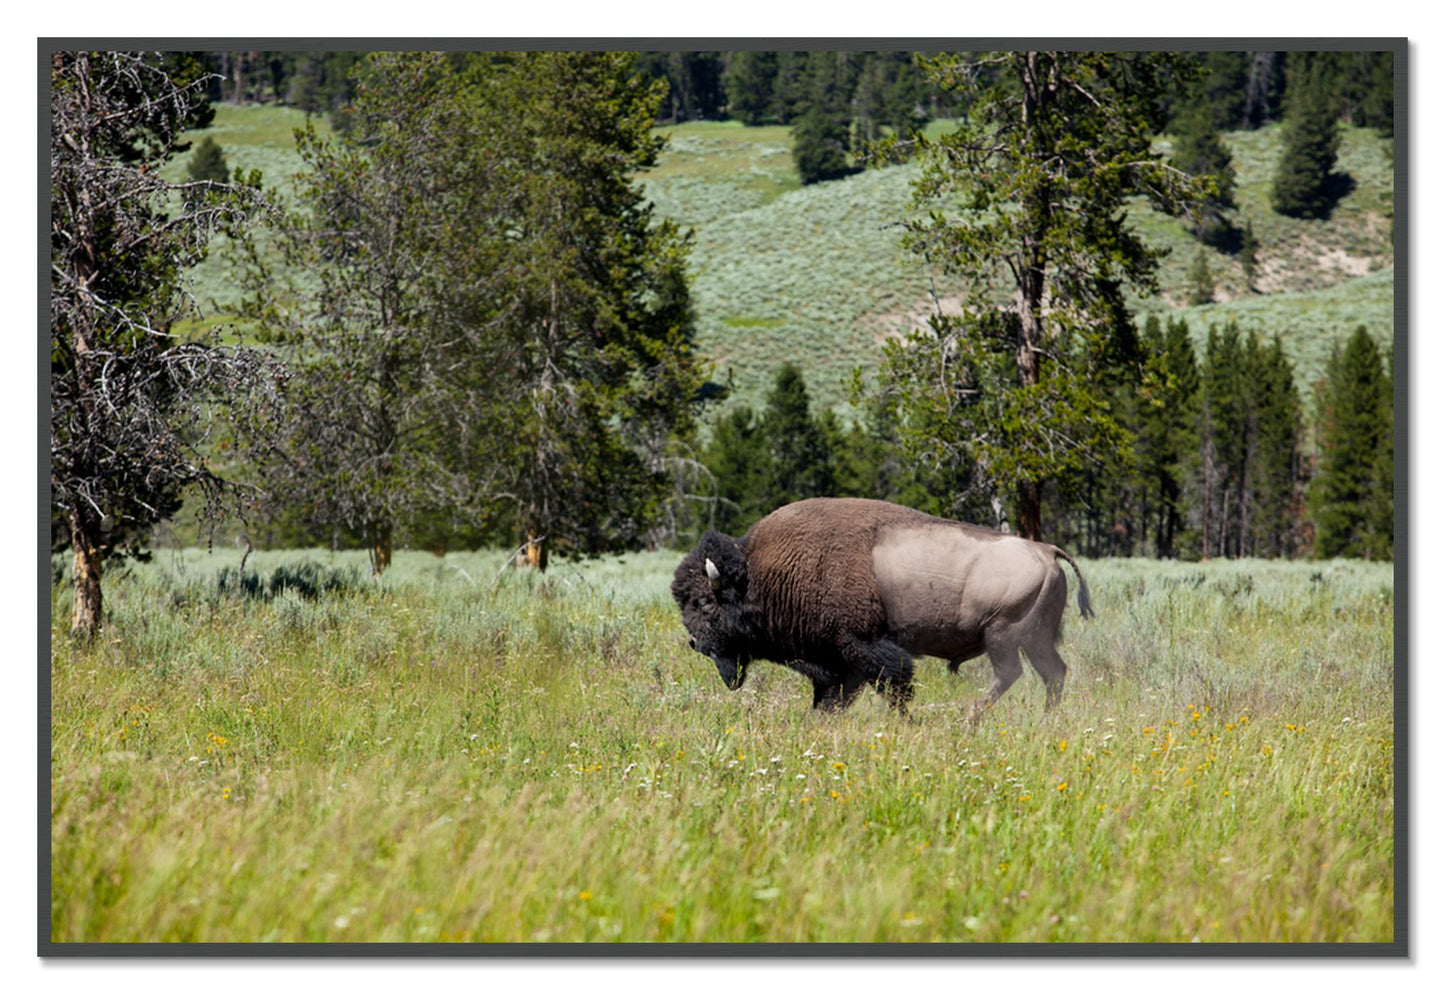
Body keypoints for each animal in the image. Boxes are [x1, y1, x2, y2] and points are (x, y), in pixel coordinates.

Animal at [671, 497, 1093, 718]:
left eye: (705, 604)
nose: (696, 643)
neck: (761, 573)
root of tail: (1046, 550)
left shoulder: (863, 647)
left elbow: (893, 684)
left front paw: (904, 720)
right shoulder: (837, 663)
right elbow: (832, 698)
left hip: (1002, 635)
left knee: (1011, 674)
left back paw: (969, 718)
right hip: (1035, 639)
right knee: (1053, 673)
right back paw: (1045, 719)